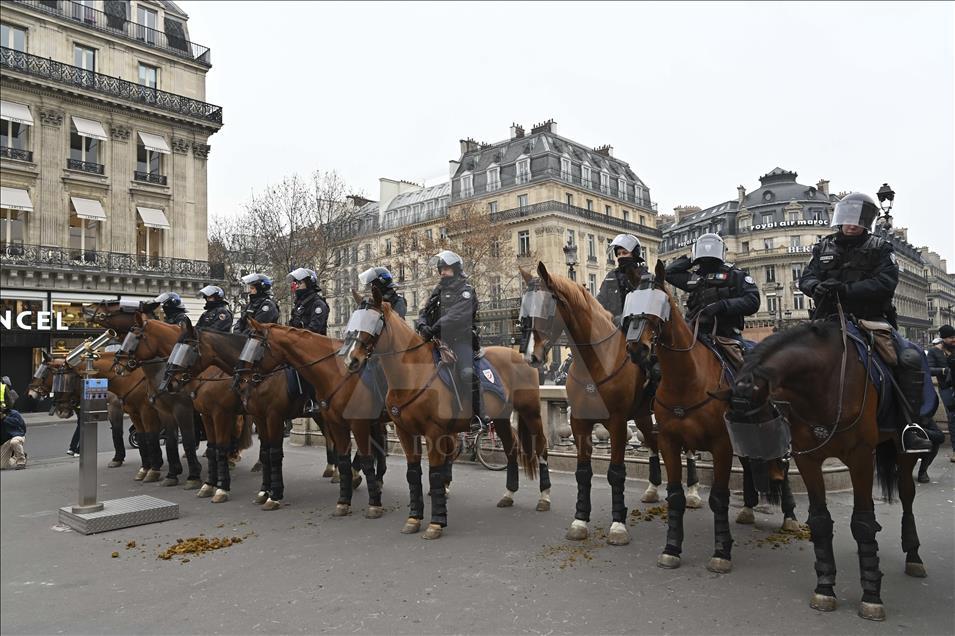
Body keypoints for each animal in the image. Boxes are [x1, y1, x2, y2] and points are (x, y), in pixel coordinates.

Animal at [336, 290, 548, 540]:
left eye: (375, 321)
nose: (351, 359)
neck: (412, 374)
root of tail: (521, 356)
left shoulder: (434, 432)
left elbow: (435, 474)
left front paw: (436, 522)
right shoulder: (405, 432)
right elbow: (413, 474)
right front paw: (414, 518)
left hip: (530, 412)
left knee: (541, 447)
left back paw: (544, 497)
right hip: (502, 418)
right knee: (511, 448)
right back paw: (509, 494)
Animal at [536, 260, 684, 544]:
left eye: (546, 306)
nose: (532, 354)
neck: (594, 362)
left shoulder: (616, 423)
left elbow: (616, 472)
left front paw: (618, 525)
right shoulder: (579, 422)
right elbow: (583, 472)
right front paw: (580, 520)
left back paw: (691, 494)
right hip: (642, 415)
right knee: (653, 444)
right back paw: (652, 489)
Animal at [724, 316, 928, 620]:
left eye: (762, 416)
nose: (771, 475)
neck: (822, 382)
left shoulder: (861, 456)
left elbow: (862, 522)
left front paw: (871, 595)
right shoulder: (808, 460)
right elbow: (820, 521)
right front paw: (825, 587)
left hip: (901, 446)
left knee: (906, 495)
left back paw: (913, 556)